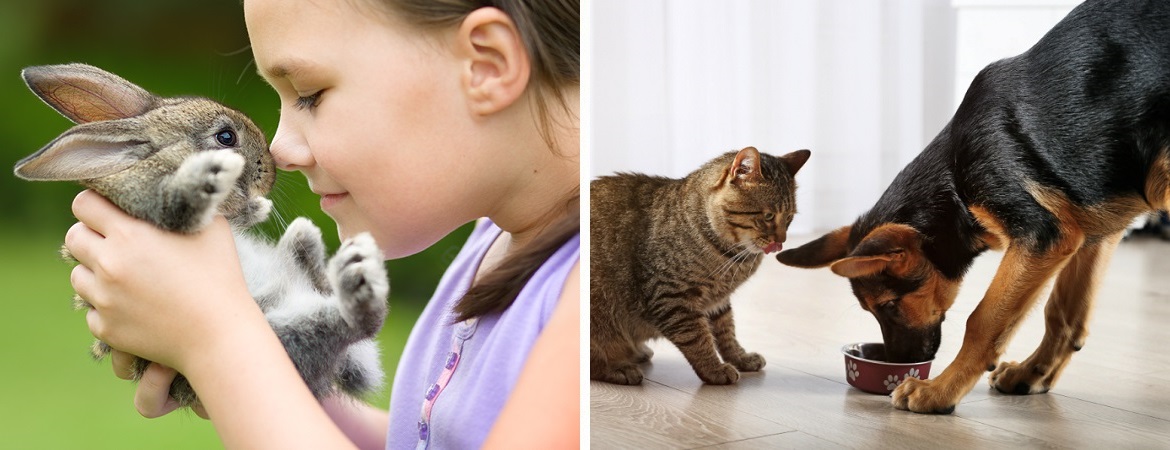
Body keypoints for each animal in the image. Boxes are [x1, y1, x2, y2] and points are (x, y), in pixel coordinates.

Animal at [12, 63, 388, 411]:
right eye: (226, 137)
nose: (270, 171)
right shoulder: (155, 204)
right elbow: (182, 201)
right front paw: (214, 177)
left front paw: (253, 205)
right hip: (279, 338)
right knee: (355, 322)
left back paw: (314, 245)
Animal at [589, 145, 809, 383]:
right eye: (768, 216)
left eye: (789, 218)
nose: (781, 241)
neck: (732, 256)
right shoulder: (671, 297)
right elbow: (697, 338)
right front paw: (714, 369)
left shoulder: (717, 302)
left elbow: (727, 333)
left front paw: (740, 358)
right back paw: (619, 368)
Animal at [776, 0, 1170, 413]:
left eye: (889, 305)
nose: (898, 364)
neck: (954, 181)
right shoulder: (1094, 230)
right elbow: (1062, 313)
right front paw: (1033, 373)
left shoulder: (1044, 236)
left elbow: (982, 321)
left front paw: (938, 391)